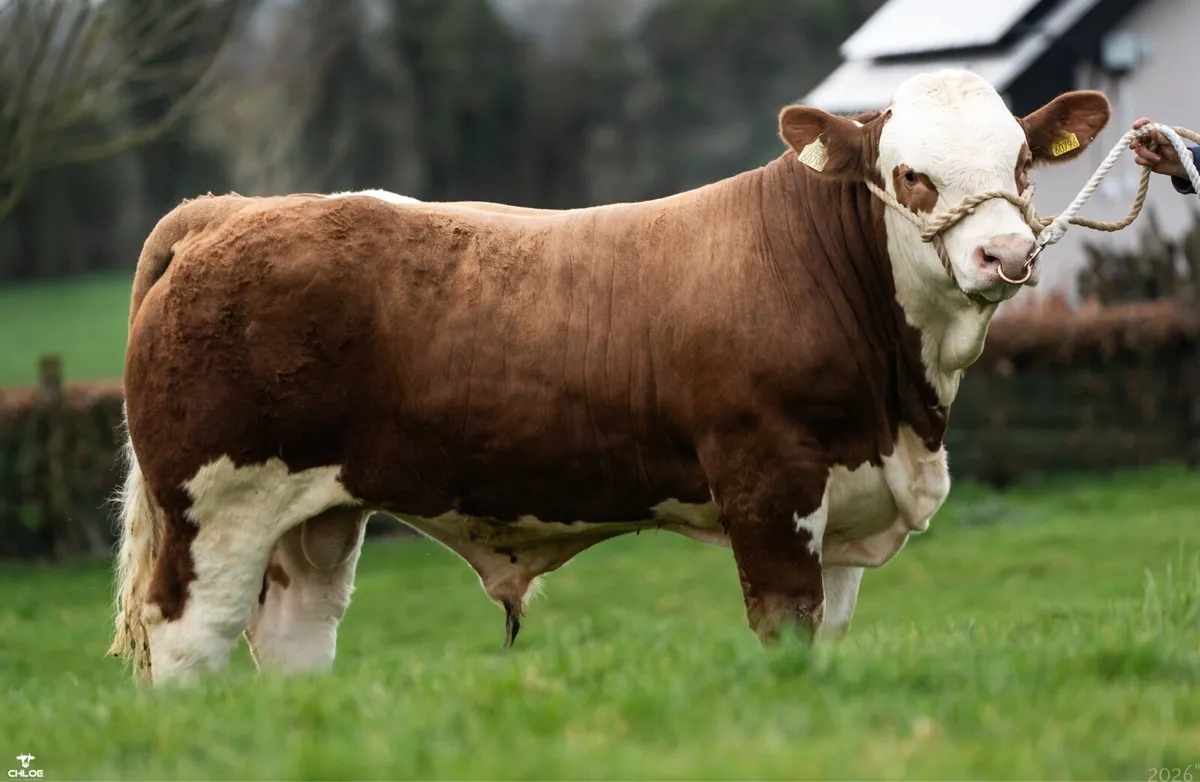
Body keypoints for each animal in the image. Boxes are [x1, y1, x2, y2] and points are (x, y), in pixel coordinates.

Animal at [108, 69, 1110, 684]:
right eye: (911, 176)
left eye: (1023, 164)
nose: (1005, 255)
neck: (903, 409)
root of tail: (231, 210)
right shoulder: (768, 483)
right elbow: (784, 628)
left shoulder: (846, 497)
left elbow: (824, 633)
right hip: (217, 505)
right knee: (189, 639)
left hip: (312, 522)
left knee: (293, 642)